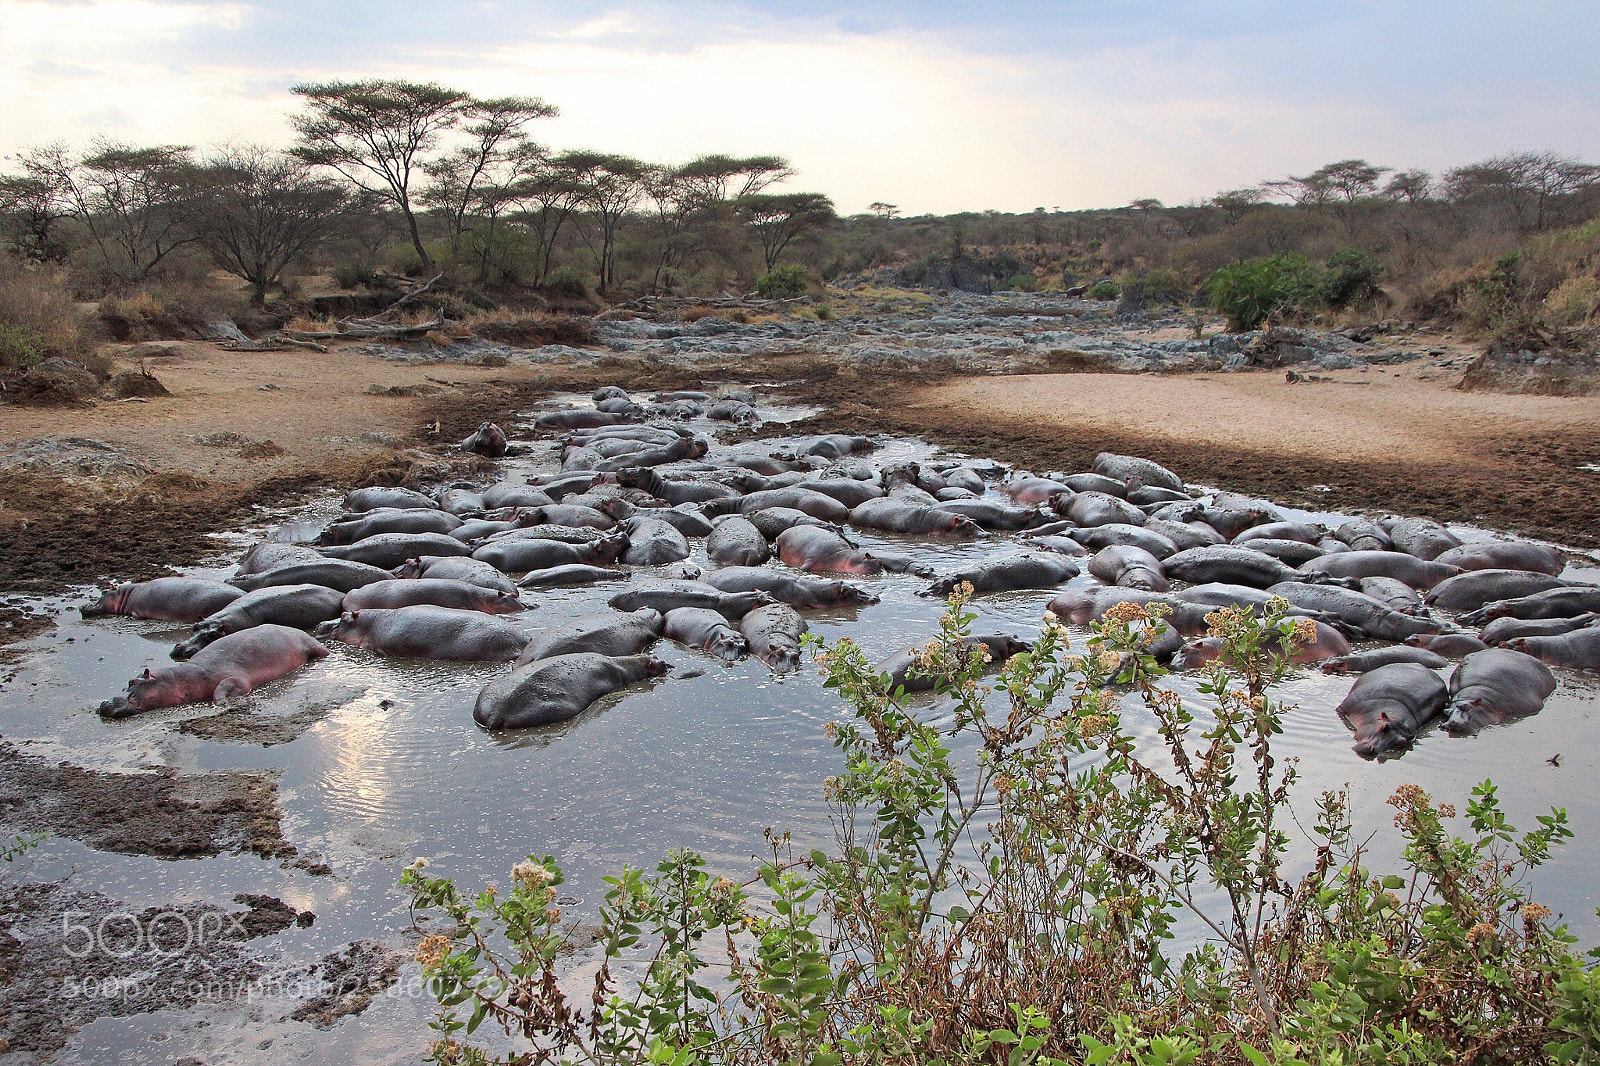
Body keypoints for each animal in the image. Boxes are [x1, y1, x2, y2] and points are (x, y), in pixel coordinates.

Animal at [99, 625, 327, 718]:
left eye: (133, 682)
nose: (105, 704)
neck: (177, 678)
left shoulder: (234, 675)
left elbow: (225, 686)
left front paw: (222, 703)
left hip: (311, 646)